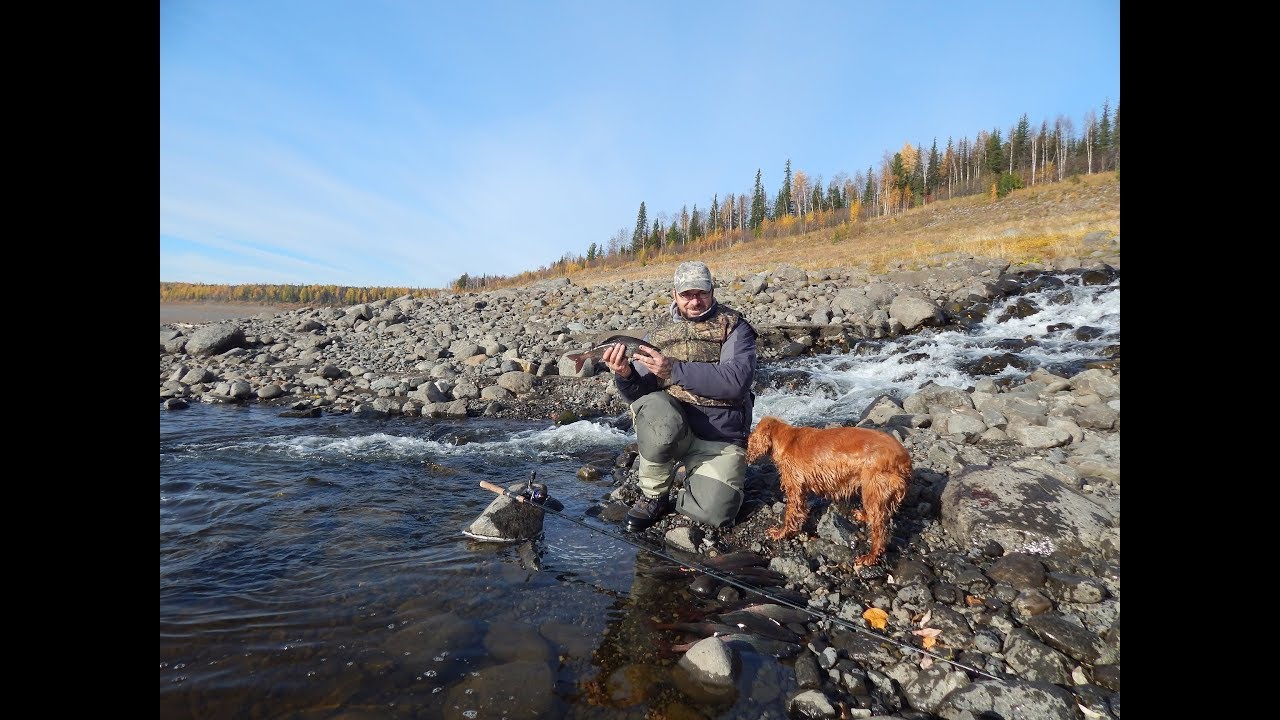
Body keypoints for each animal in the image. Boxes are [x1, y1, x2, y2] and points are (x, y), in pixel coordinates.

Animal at [747, 415, 916, 566]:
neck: (786, 438)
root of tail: (905, 459)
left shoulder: (794, 488)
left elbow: (791, 515)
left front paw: (781, 533)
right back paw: (863, 516)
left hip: (873, 489)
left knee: (879, 533)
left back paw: (870, 557)